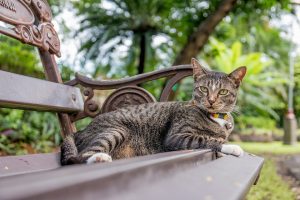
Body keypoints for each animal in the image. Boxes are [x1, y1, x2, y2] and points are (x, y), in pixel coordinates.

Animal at [60, 58, 246, 165]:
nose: (211, 100)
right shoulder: (176, 136)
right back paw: (99, 157)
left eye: (223, 92)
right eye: (203, 89)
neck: (217, 118)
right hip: (116, 130)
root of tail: (80, 131)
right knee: (80, 155)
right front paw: (232, 146)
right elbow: (207, 139)